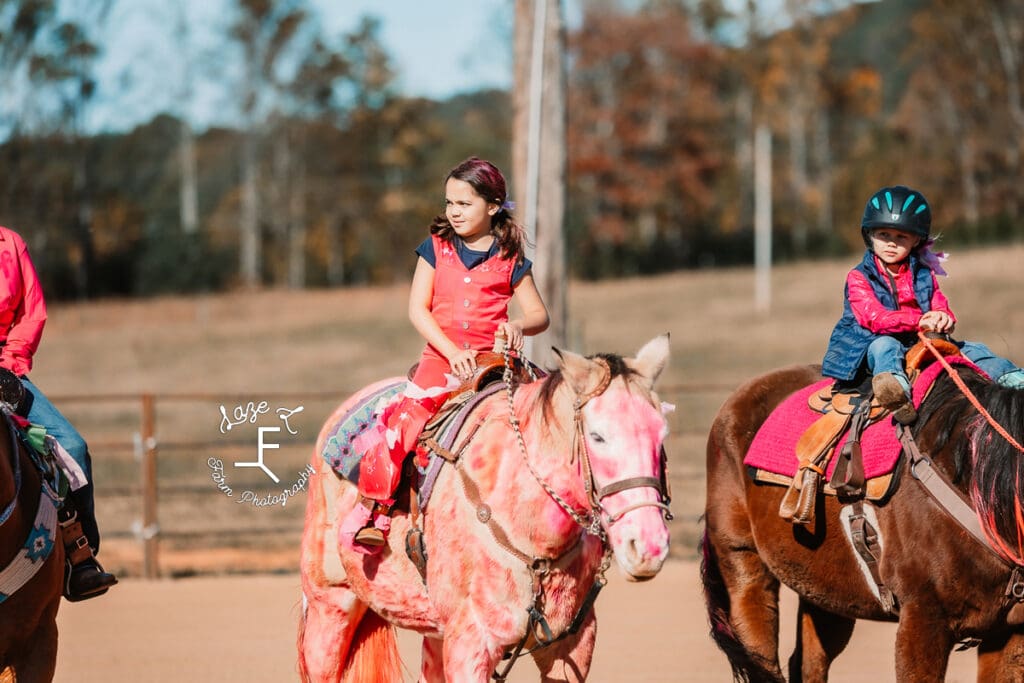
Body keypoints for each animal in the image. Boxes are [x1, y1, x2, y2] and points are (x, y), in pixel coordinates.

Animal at [299, 335, 675, 683]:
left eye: (660, 434)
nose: (649, 546)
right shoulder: (471, 644)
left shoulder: (572, 645)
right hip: (328, 608)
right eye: (597, 436)